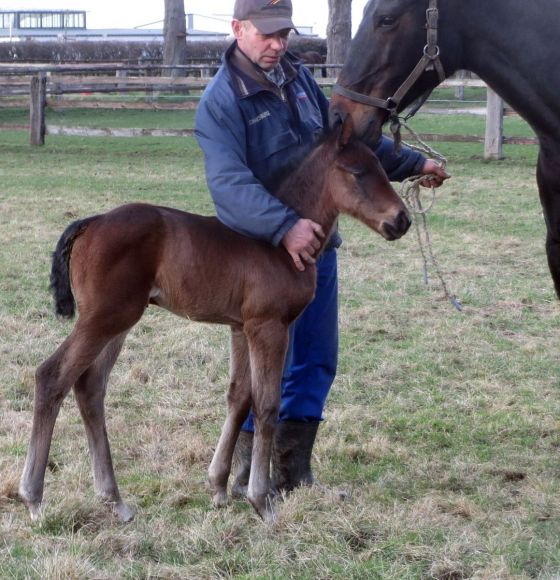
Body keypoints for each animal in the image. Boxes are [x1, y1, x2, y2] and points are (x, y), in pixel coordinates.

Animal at [19, 118, 410, 520]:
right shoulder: (269, 327)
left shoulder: (241, 328)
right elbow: (267, 405)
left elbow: (239, 397)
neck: (281, 243)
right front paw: (261, 500)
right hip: (104, 318)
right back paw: (34, 496)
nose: (402, 220)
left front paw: (219, 487)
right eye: (357, 172)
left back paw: (114, 498)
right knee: (52, 376)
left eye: (383, 168)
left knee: (90, 386)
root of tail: (90, 222)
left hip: (117, 322)